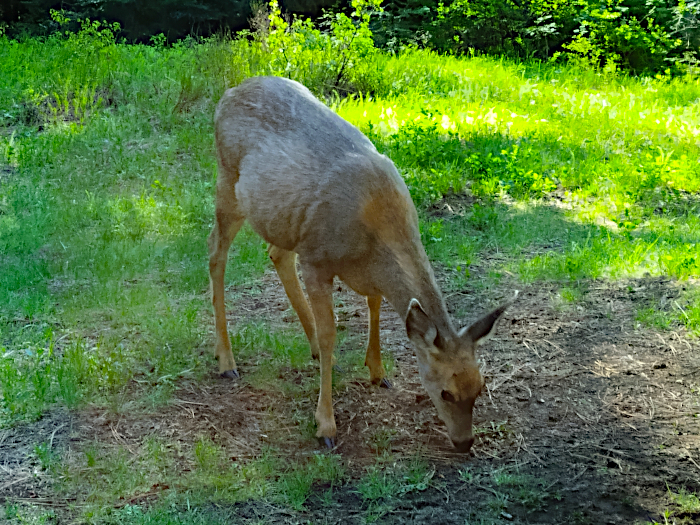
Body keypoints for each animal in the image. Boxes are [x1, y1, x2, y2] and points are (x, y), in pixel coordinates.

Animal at [208, 75, 516, 452]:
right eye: (445, 392)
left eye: (480, 387)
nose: (464, 442)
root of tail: (228, 94)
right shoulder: (317, 259)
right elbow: (332, 332)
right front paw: (326, 425)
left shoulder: (359, 267)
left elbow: (375, 304)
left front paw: (378, 372)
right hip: (227, 181)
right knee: (215, 253)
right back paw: (227, 361)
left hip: (285, 220)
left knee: (276, 253)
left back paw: (311, 351)